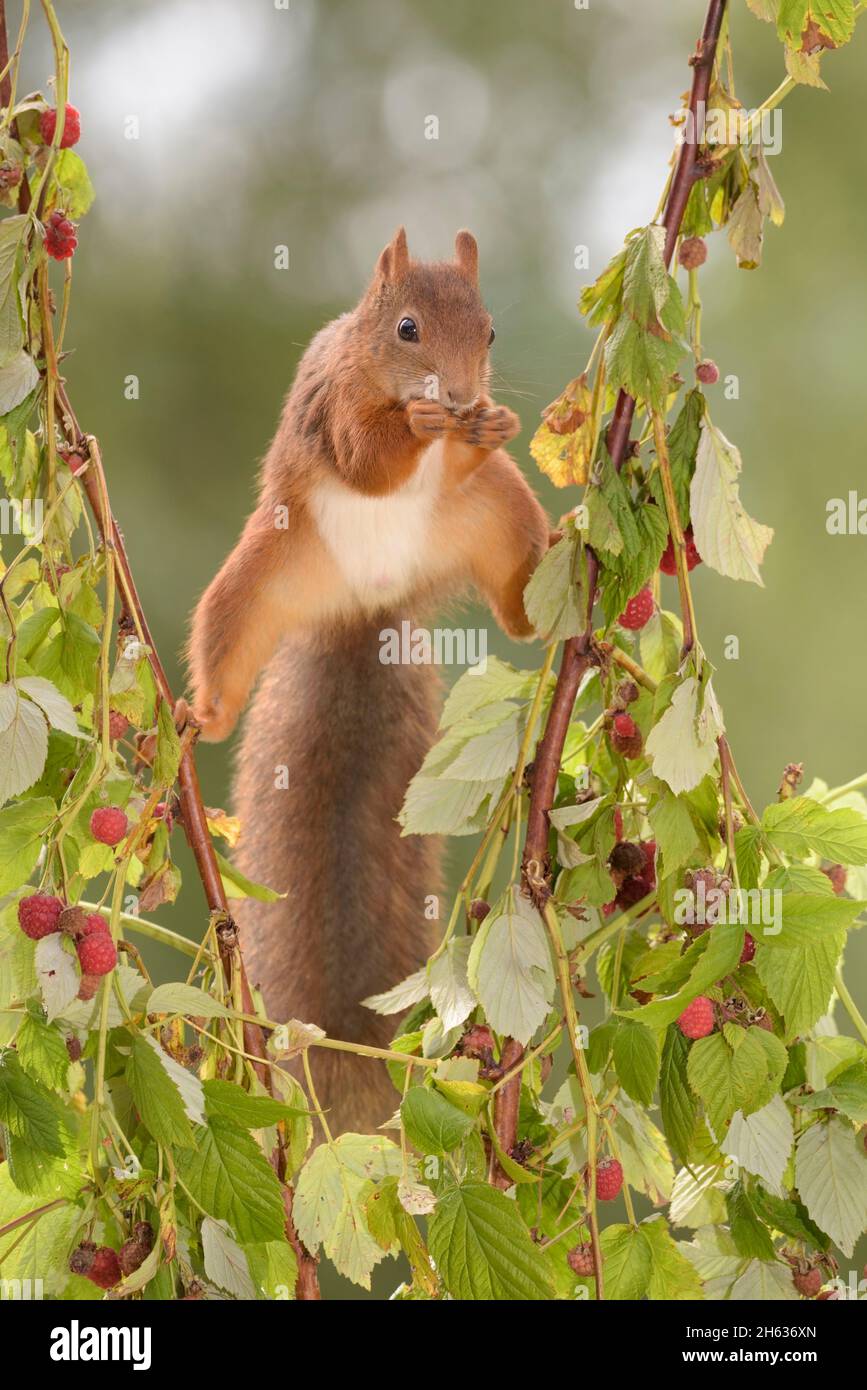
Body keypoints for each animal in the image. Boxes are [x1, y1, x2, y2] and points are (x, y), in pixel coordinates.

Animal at [188, 227, 549, 1132]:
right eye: (408, 329)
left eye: (490, 331)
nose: (459, 395)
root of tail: (365, 600)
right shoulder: (338, 410)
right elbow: (367, 460)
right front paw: (418, 424)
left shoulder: (465, 471)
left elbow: (456, 460)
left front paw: (492, 422)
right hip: (260, 573)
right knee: (223, 642)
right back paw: (204, 712)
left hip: (501, 516)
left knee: (517, 601)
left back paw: (557, 602)